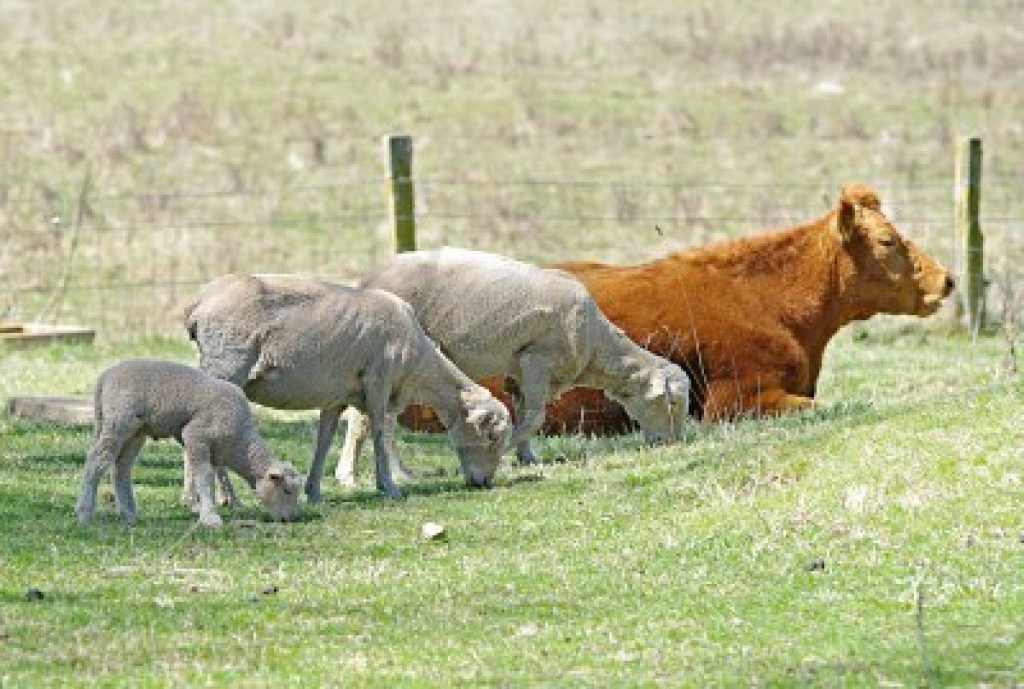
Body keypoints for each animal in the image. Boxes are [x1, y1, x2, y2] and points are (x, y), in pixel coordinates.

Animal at [74, 360, 303, 528]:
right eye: (287, 491)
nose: (290, 519)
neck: (240, 443)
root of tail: (105, 377)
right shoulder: (195, 435)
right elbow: (204, 476)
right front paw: (210, 518)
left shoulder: (212, 450)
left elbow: (203, 476)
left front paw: (203, 509)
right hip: (119, 421)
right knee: (97, 461)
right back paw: (85, 513)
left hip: (136, 430)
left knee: (121, 466)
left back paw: (129, 514)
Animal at [184, 270, 512, 499]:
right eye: (492, 436)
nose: (485, 483)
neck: (417, 370)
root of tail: (199, 303)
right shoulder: (378, 380)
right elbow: (378, 430)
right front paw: (389, 487)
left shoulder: (337, 395)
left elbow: (324, 439)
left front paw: (314, 491)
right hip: (227, 367)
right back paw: (227, 499)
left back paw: (193, 499)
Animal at [339, 245, 692, 479]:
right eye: (673, 403)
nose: (670, 444)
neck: (596, 346)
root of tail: (366, 282)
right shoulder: (538, 359)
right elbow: (534, 419)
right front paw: (506, 451)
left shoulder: (522, 372)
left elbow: (524, 412)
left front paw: (527, 457)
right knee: (377, 420)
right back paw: (383, 473)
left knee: (368, 418)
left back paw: (360, 473)